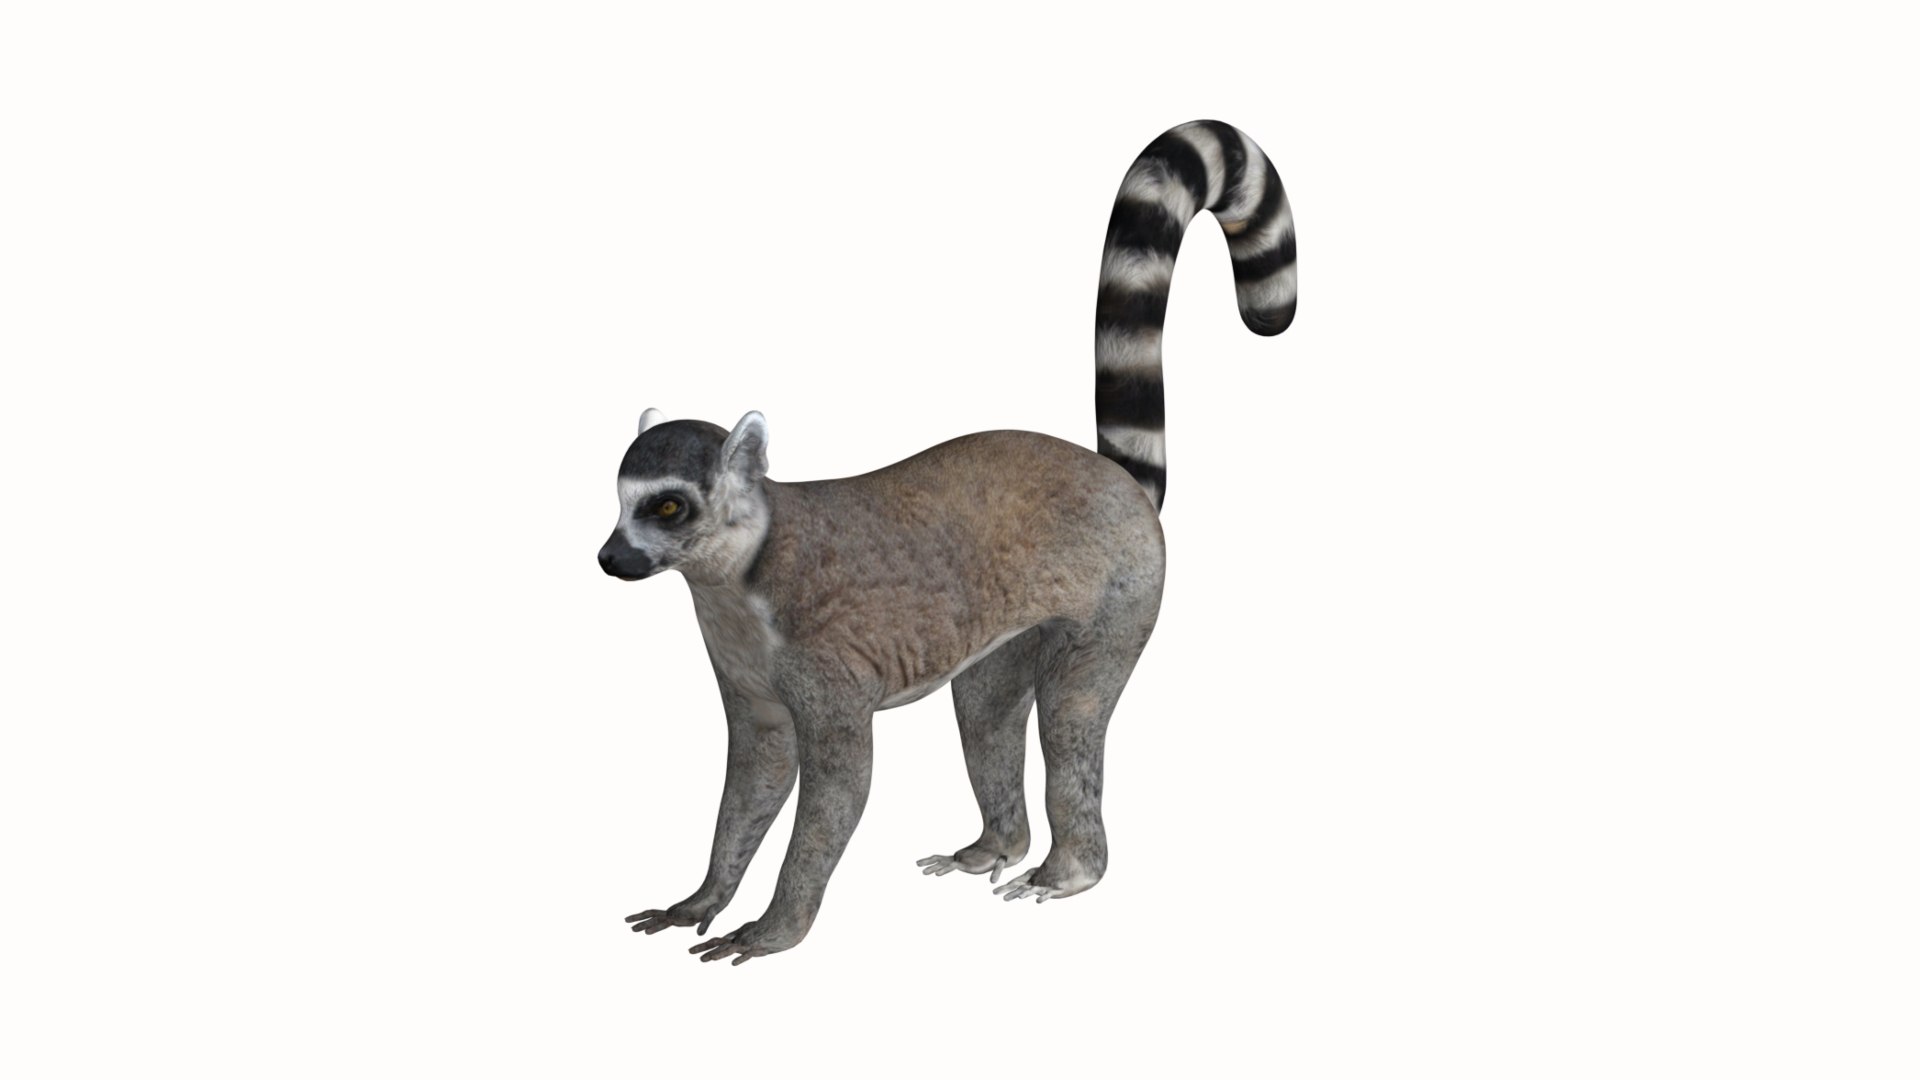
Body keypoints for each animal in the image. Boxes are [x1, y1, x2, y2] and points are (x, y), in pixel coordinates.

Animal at [599, 120, 1295, 964]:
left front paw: (774, 929)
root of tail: (1117, 482)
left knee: (1071, 714)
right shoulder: (746, 669)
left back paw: (1069, 870)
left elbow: (840, 781)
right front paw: (702, 898)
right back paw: (997, 845)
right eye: (620, 501)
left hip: (1122, 595)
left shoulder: (821, 663)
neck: (737, 580)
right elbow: (760, 769)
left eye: (668, 508)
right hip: (1010, 628)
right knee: (986, 708)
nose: (610, 559)